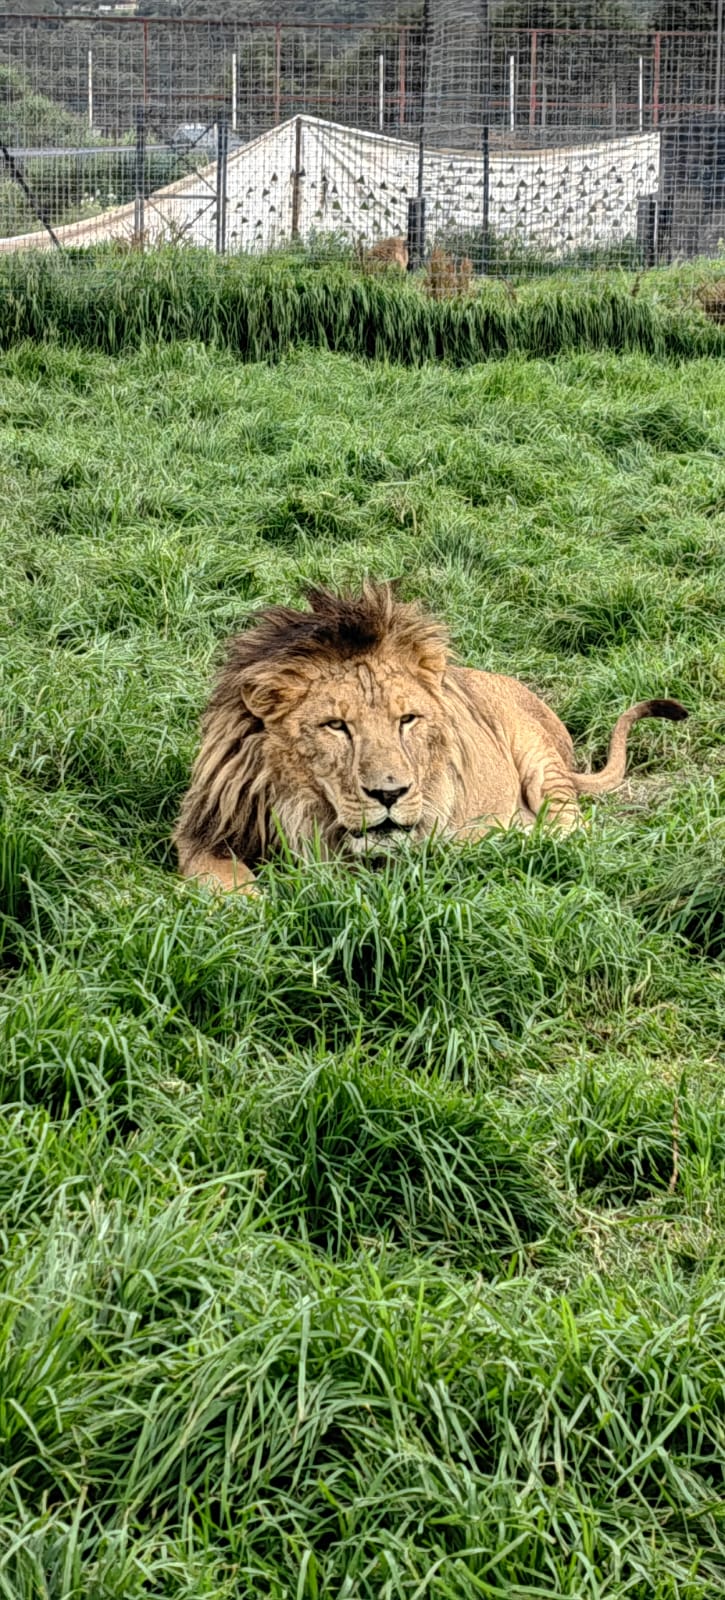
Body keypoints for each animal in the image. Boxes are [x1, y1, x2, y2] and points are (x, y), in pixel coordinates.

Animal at [174, 581, 688, 892]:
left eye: (407, 720)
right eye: (336, 726)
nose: (389, 794)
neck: (304, 812)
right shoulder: (205, 830)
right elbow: (222, 879)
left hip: (542, 762)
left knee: (571, 832)